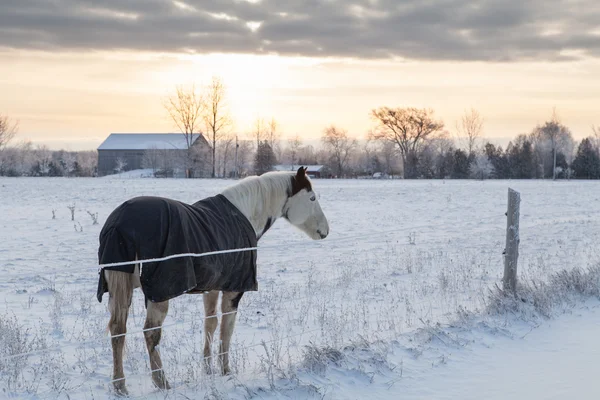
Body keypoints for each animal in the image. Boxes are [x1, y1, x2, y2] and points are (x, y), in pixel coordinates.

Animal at [98, 166, 330, 394]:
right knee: (151, 333)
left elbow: (210, 323)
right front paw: (226, 371)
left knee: (118, 331)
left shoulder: (213, 288)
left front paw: (208, 368)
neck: (243, 214)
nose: (325, 231)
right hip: (159, 294)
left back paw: (120, 386)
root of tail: (119, 223)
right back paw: (161, 382)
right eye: (312, 198)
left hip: (122, 289)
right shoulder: (234, 289)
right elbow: (227, 329)